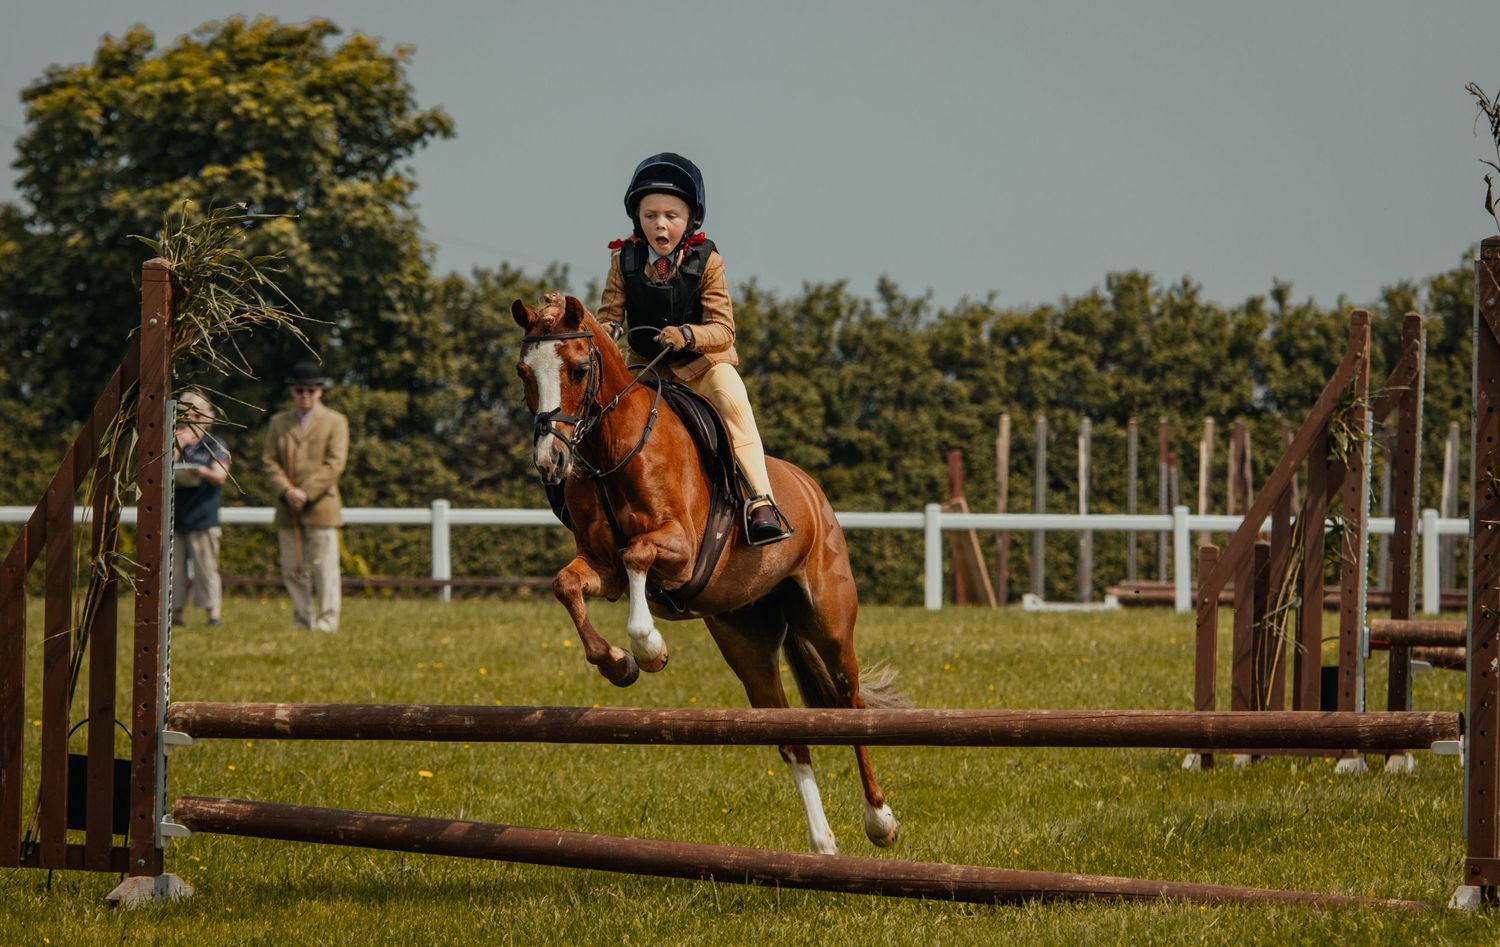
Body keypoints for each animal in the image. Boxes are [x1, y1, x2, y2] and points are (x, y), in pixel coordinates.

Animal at [511, 293, 901, 855]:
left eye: (580, 370)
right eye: (524, 371)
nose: (550, 461)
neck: (613, 448)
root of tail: (811, 490)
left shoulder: (681, 551)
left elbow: (638, 557)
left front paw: (649, 649)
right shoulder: (602, 566)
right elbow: (569, 584)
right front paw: (618, 665)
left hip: (829, 621)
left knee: (850, 705)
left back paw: (880, 820)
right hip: (747, 641)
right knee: (791, 738)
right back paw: (823, 845)